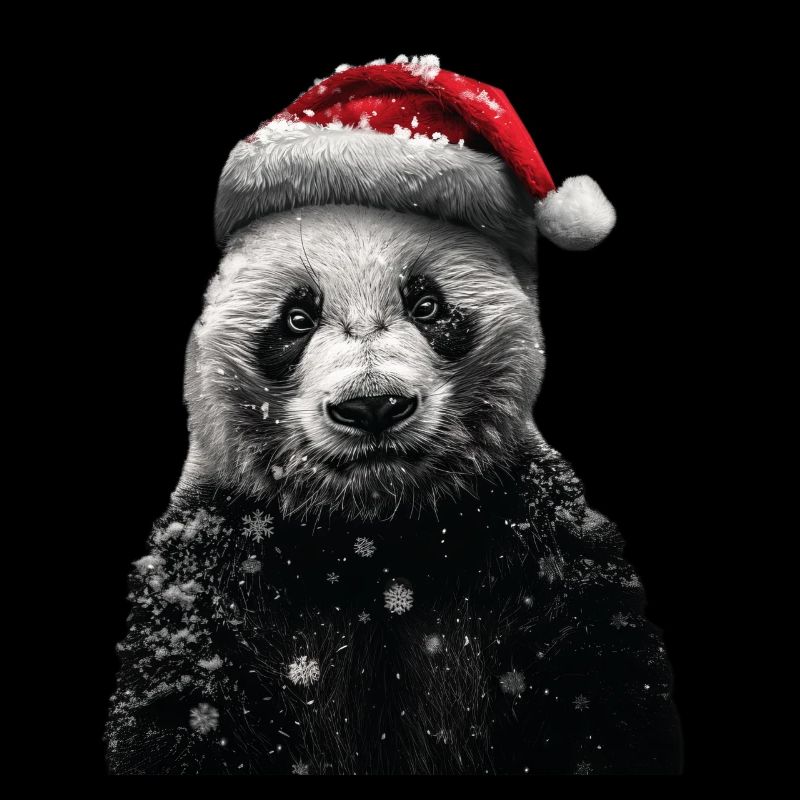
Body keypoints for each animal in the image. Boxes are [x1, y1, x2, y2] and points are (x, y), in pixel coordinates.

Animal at [106, 57, 683, 775]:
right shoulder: (214, 567)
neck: (378, 534)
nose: (373, 405)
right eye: (297, 318)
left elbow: (601, 692)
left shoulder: (540, 546)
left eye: (428, 305)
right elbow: (181, 710)